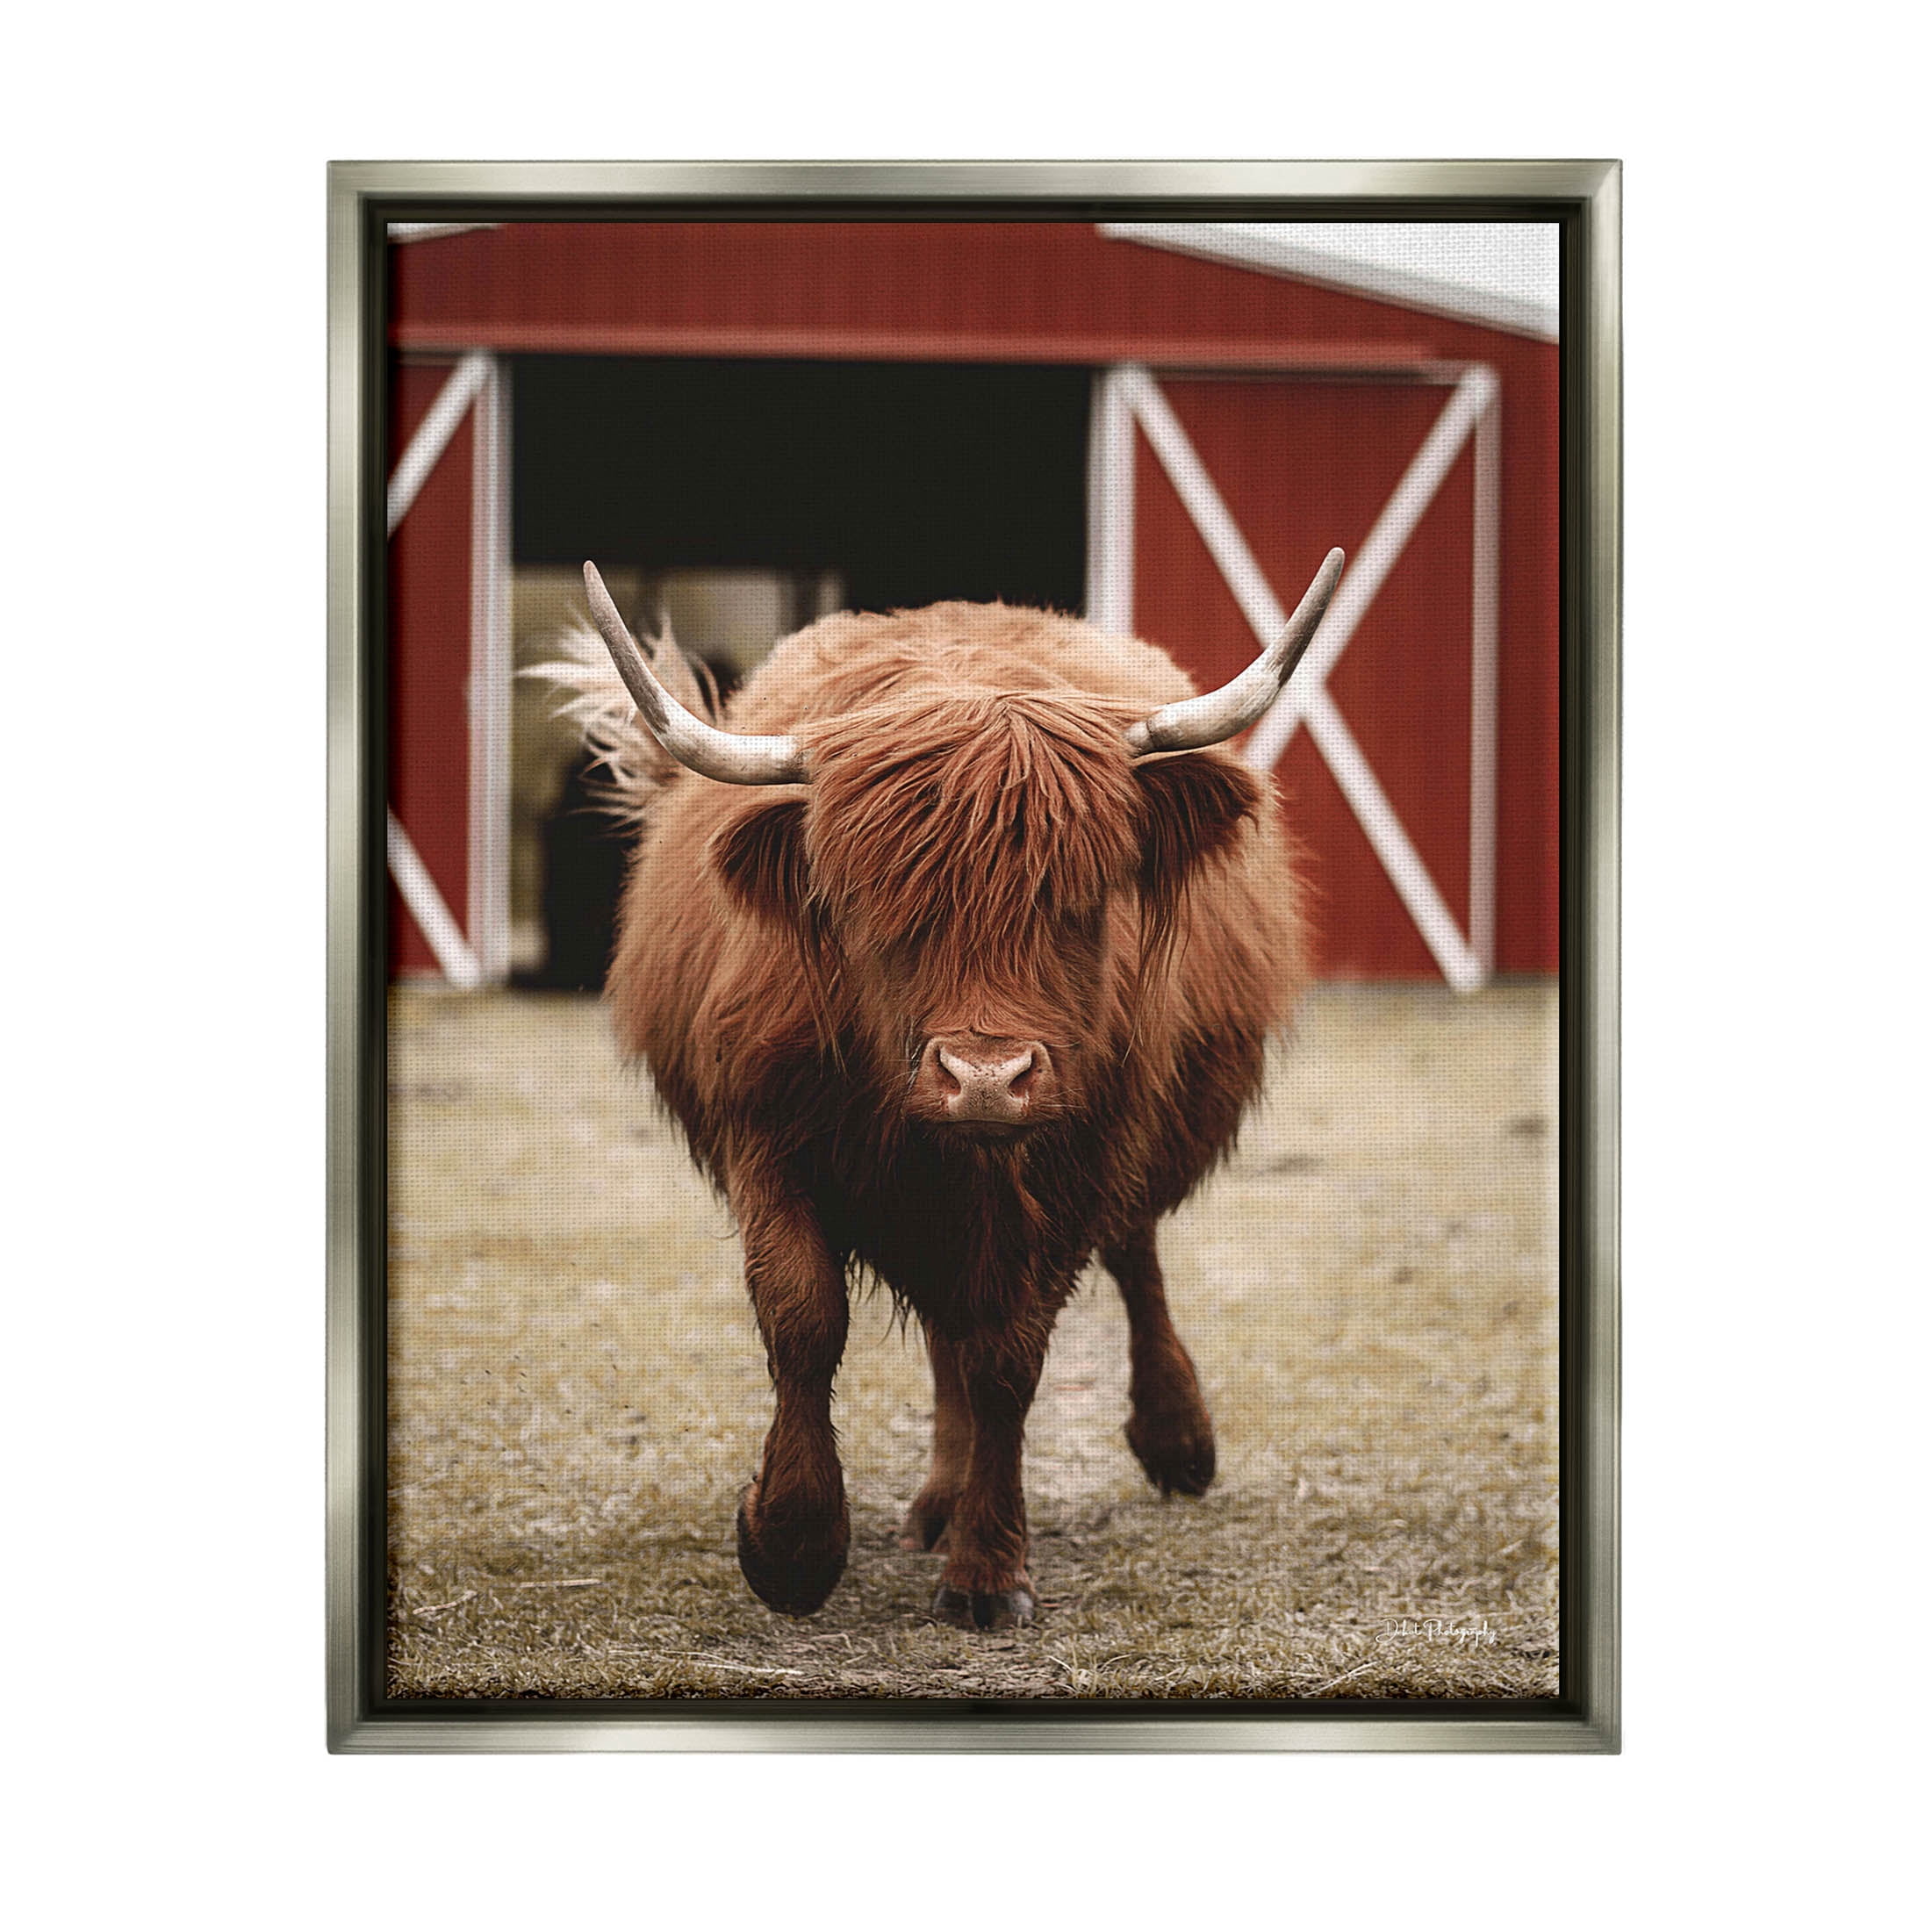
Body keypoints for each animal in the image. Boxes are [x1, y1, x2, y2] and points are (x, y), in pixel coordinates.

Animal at [543, 548, 1342, 1630]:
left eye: (1077, 900)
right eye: (876, 906)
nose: (985, 1079)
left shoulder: (1075, 1162)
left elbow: (1009, 1356)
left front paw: (988, 1572)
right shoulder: (765, 1130)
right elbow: (804, 1315)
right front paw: (790, 1545)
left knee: (1126, 1257)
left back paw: (1173, 1442)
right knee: (945, 1328)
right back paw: (933, 1501)